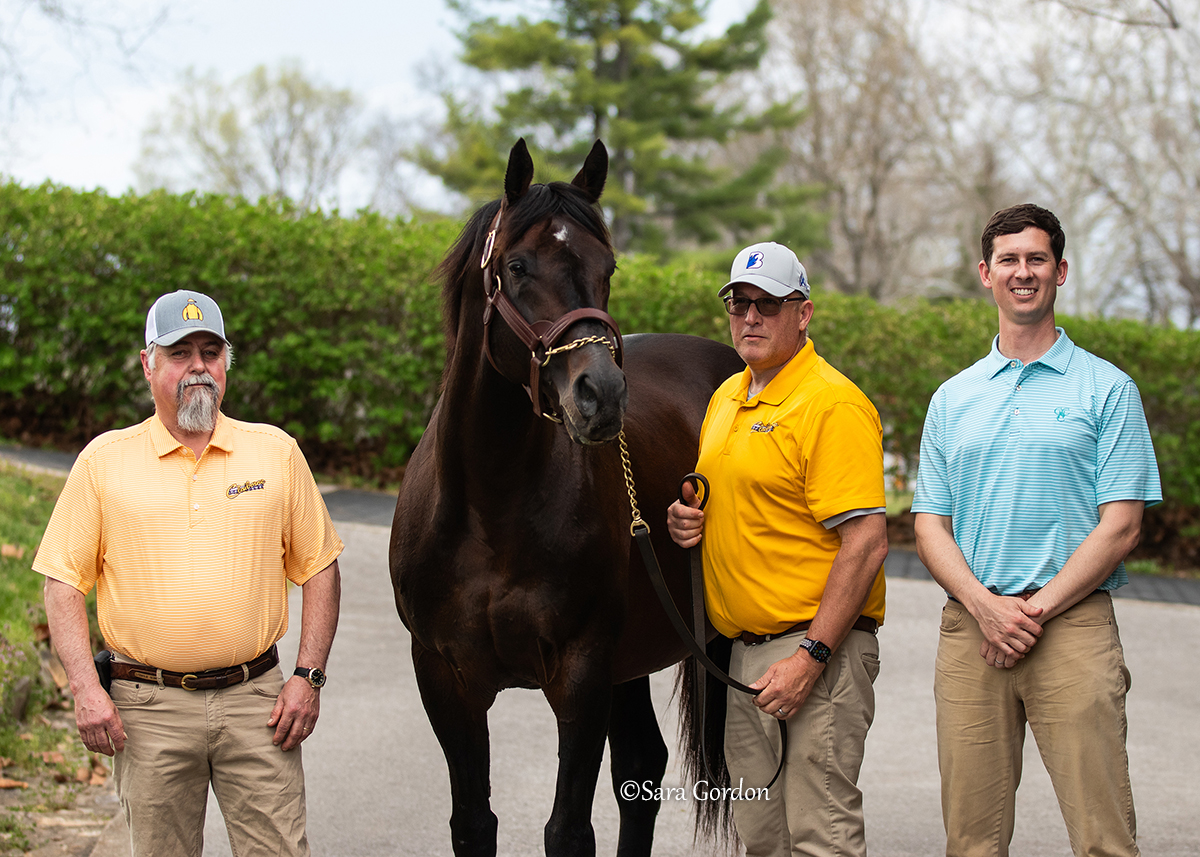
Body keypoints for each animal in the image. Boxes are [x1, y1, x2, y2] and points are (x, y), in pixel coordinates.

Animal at [389, 138, 745, 857]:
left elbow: (568, 830)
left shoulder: (583, 674)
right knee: (642, 766)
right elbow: (474, 823)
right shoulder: (443, 677)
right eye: (517, 265)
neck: (491, 507)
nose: (601, 395)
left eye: (607, 267)